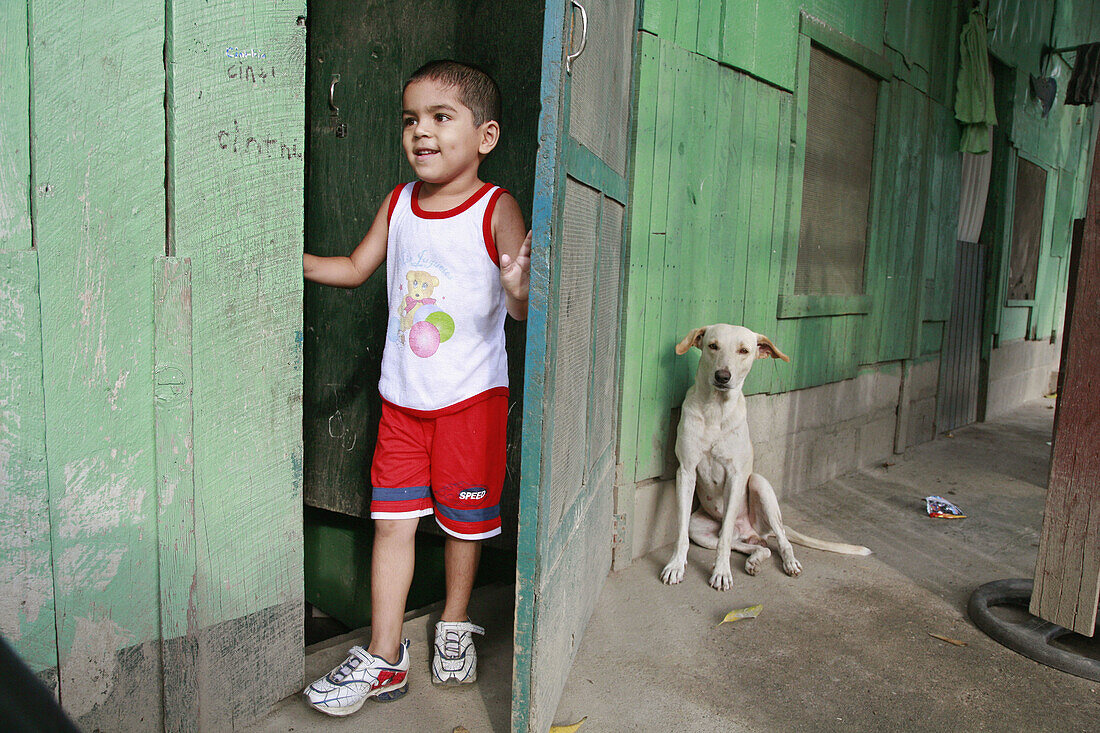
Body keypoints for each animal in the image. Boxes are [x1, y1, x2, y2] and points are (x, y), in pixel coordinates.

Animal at [655, 323, 871, 589]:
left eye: (744, 350)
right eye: (713, 345)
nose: (722, 376)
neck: (715, 409)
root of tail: (752, 530)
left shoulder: (736, 477)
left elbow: (725, 538)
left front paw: (722, 572)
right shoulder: (685, 471)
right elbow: (681, 532)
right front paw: (676, 565)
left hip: (760, 486)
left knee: (779, 539)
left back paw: (789, 562)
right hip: (702, 530)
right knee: (759, 546)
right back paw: (754, 560)